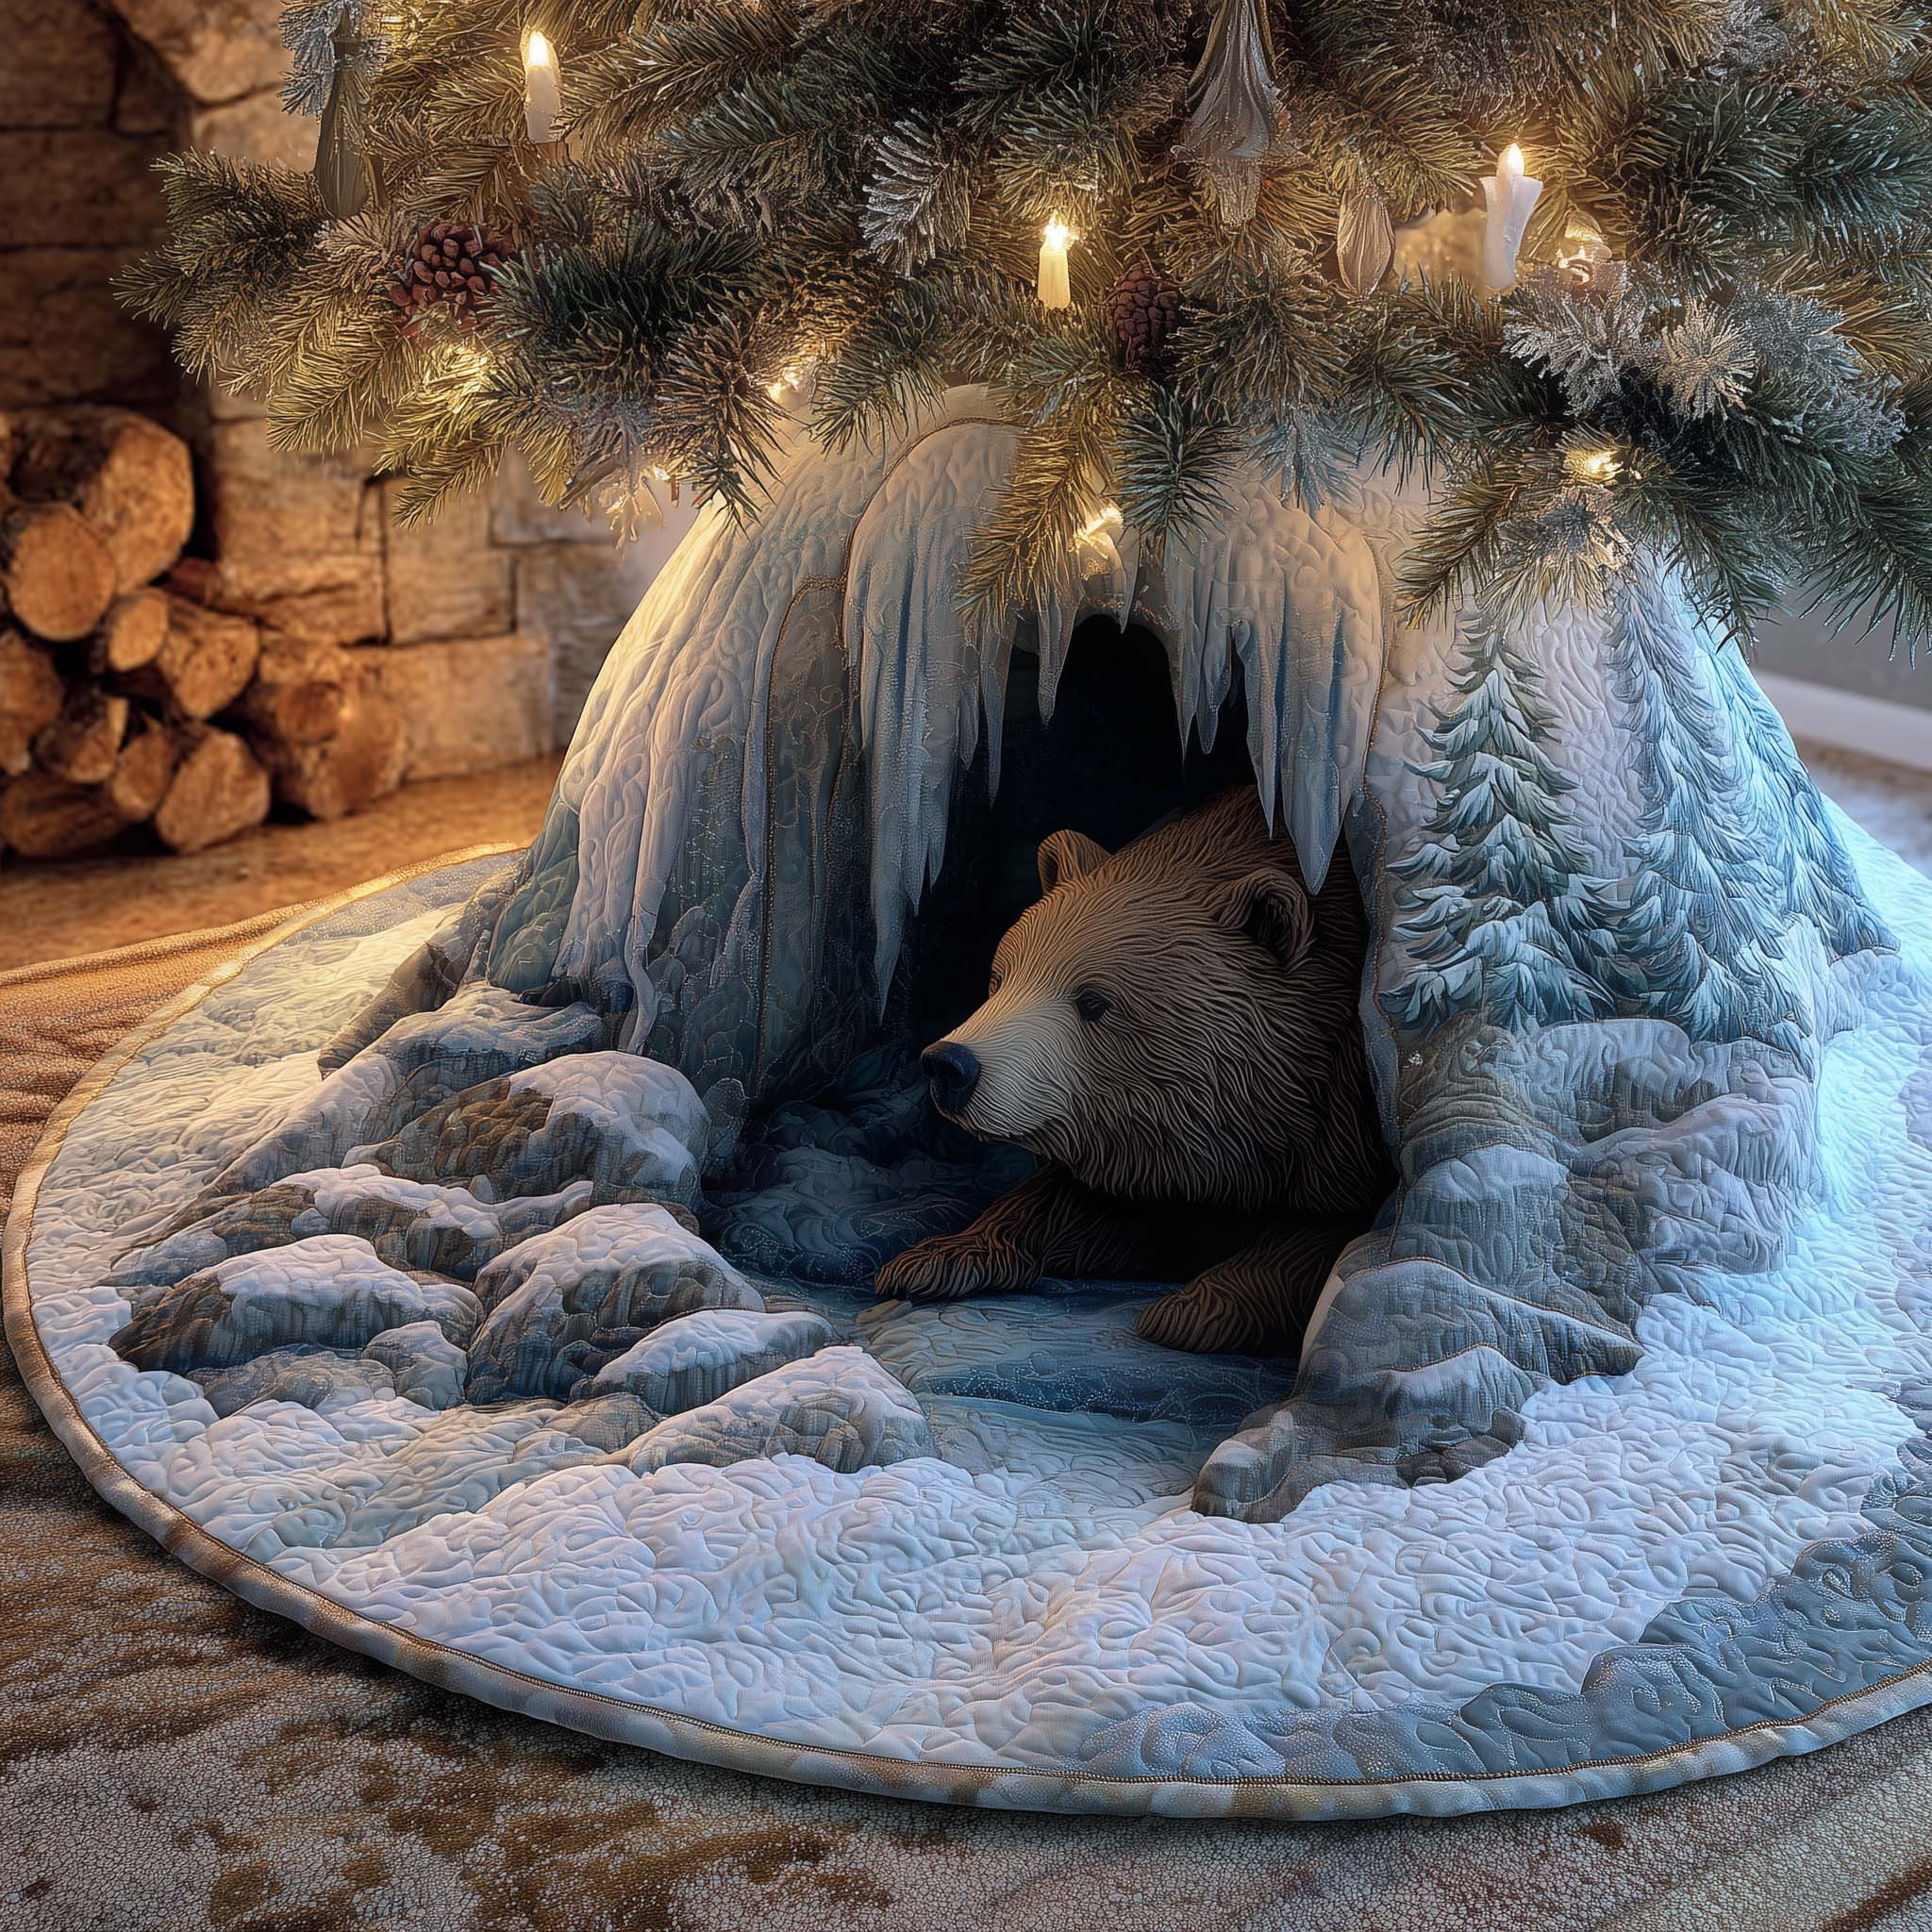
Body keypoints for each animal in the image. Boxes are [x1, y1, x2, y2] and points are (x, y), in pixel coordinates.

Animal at [874, 785, 1394, 1354]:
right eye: (1000, 978)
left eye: (1094, 1002)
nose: (950, 1065)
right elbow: (1073, 1200)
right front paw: (932, 1257)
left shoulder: (1341, 1111)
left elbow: (1325, 1233)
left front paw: (1194, 1307)